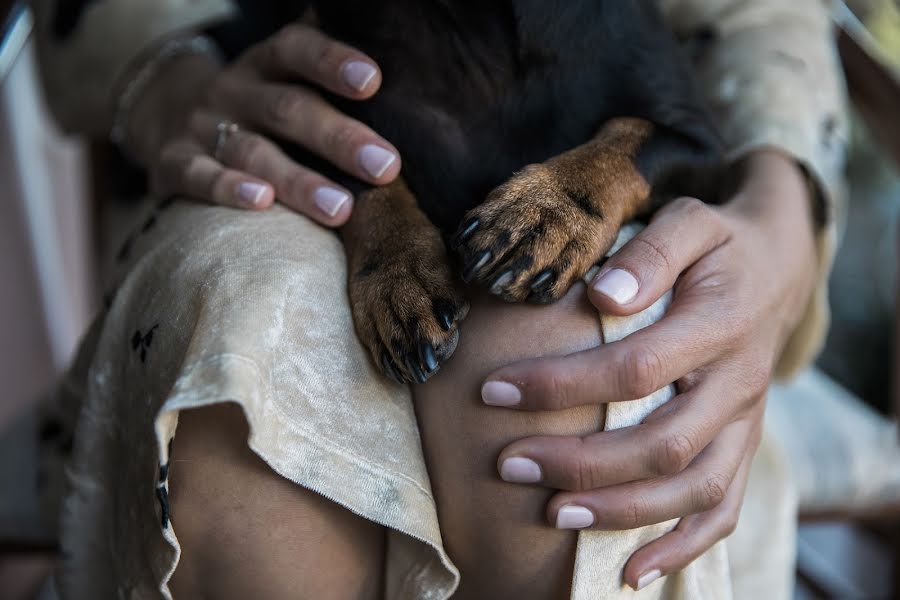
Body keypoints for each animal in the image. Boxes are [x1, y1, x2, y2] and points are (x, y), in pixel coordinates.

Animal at [270, 0, 720, 384]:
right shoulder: (328, 105)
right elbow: (371, 175)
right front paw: (399, 273)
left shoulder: (707, 150)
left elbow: (630, 136)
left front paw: (549, 210)